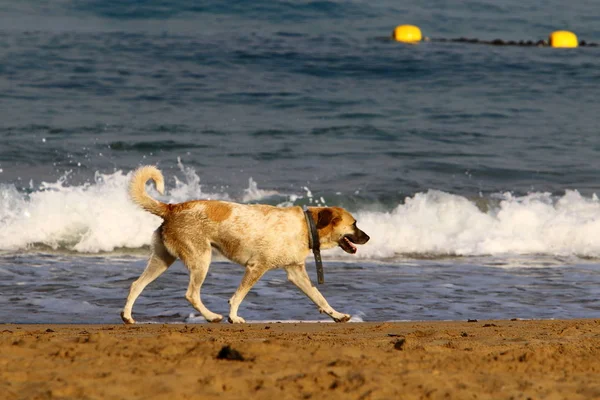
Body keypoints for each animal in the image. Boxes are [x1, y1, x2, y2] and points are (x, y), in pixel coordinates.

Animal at [119, 166, 368, 324]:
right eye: (354, 224)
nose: (367, 238)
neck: (307, 226)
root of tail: (171, 207)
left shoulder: (295, 272)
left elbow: (318, 296)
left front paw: (337, 315)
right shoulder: (256, 267)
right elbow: (238, 296)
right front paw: (233, 317)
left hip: (162, 259)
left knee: (136, 285)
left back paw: (128, 317)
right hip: (201, 258)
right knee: (191, 294)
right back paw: (211, 317)